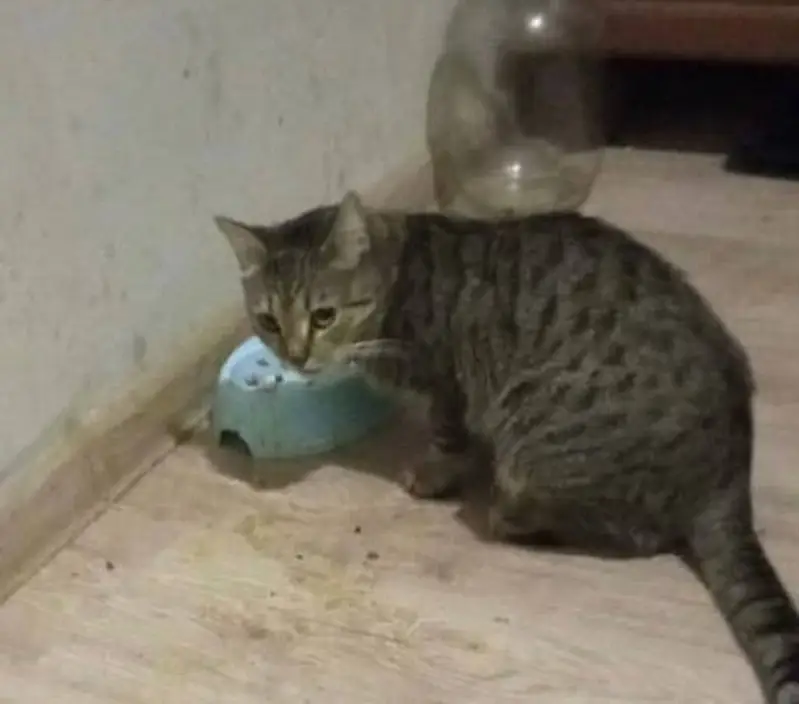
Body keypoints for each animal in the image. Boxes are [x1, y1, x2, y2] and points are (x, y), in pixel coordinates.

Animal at [215, 191, 799, 703]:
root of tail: (729, 479)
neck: (396, 282)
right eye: (268, 321)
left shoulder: (447, 382)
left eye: (323, 315)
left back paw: (508, 514)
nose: (295, 358)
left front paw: (432, 475)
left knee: (627, 532)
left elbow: (448, 440)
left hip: (538, 437)